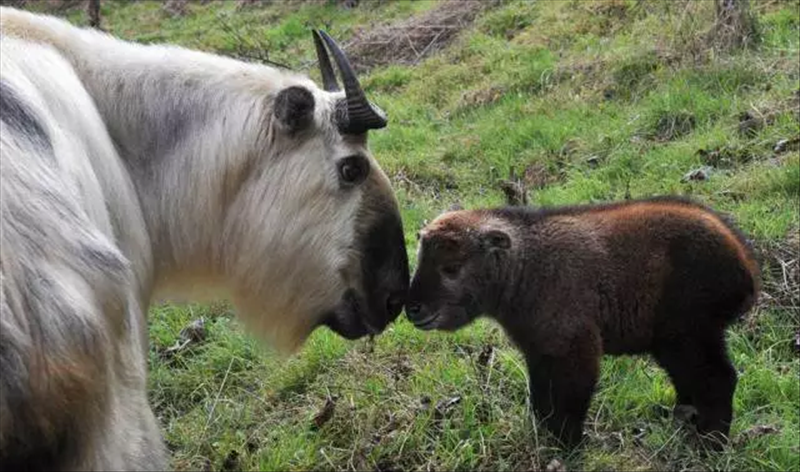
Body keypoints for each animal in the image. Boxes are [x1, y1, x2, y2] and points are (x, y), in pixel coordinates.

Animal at [410, 196, 760, 450]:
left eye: (451, 268)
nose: (413, 309)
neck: (525, 267)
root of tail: (745, 266)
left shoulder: (575, 348)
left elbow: (569, 401)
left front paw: (568, 447)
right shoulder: (540, 352)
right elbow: (541, 402)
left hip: (688, 335)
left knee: (718, 380)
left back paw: (710, 443)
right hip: (677, 342)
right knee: (693, 384)